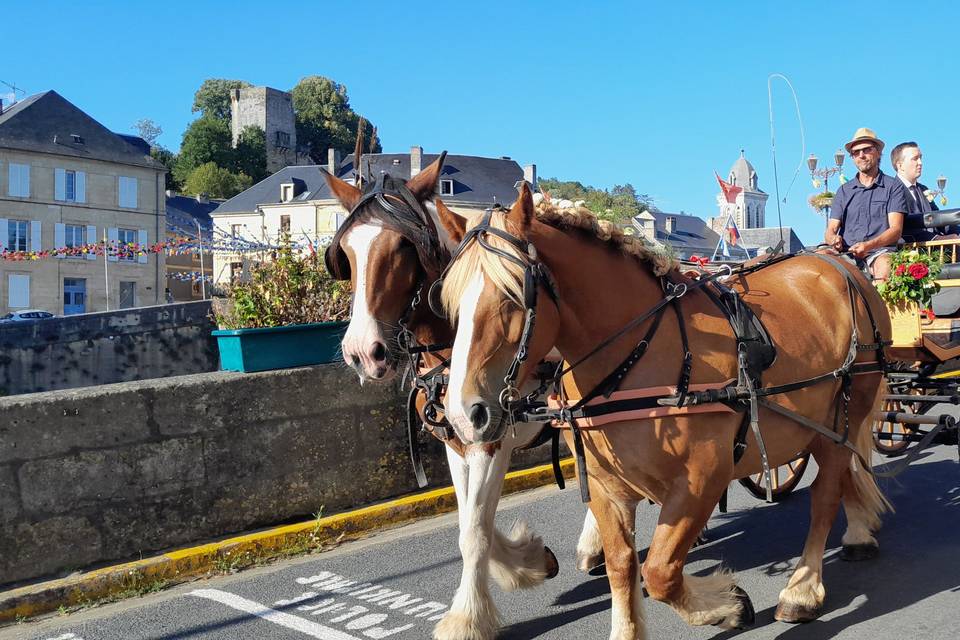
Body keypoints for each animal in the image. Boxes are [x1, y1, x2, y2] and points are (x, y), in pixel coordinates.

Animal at [440, 182, 892, 636]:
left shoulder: (704, 479)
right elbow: (623, 566)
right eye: (450, 303)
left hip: (842, 419)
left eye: (514, 296)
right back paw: (858, 533)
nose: (462, 415)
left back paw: (803, 589)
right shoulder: (605, 486)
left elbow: (659, 572)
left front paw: (727, 604)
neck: (635, 351)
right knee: (844, 477)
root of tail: (837, 263)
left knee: (825, 495)